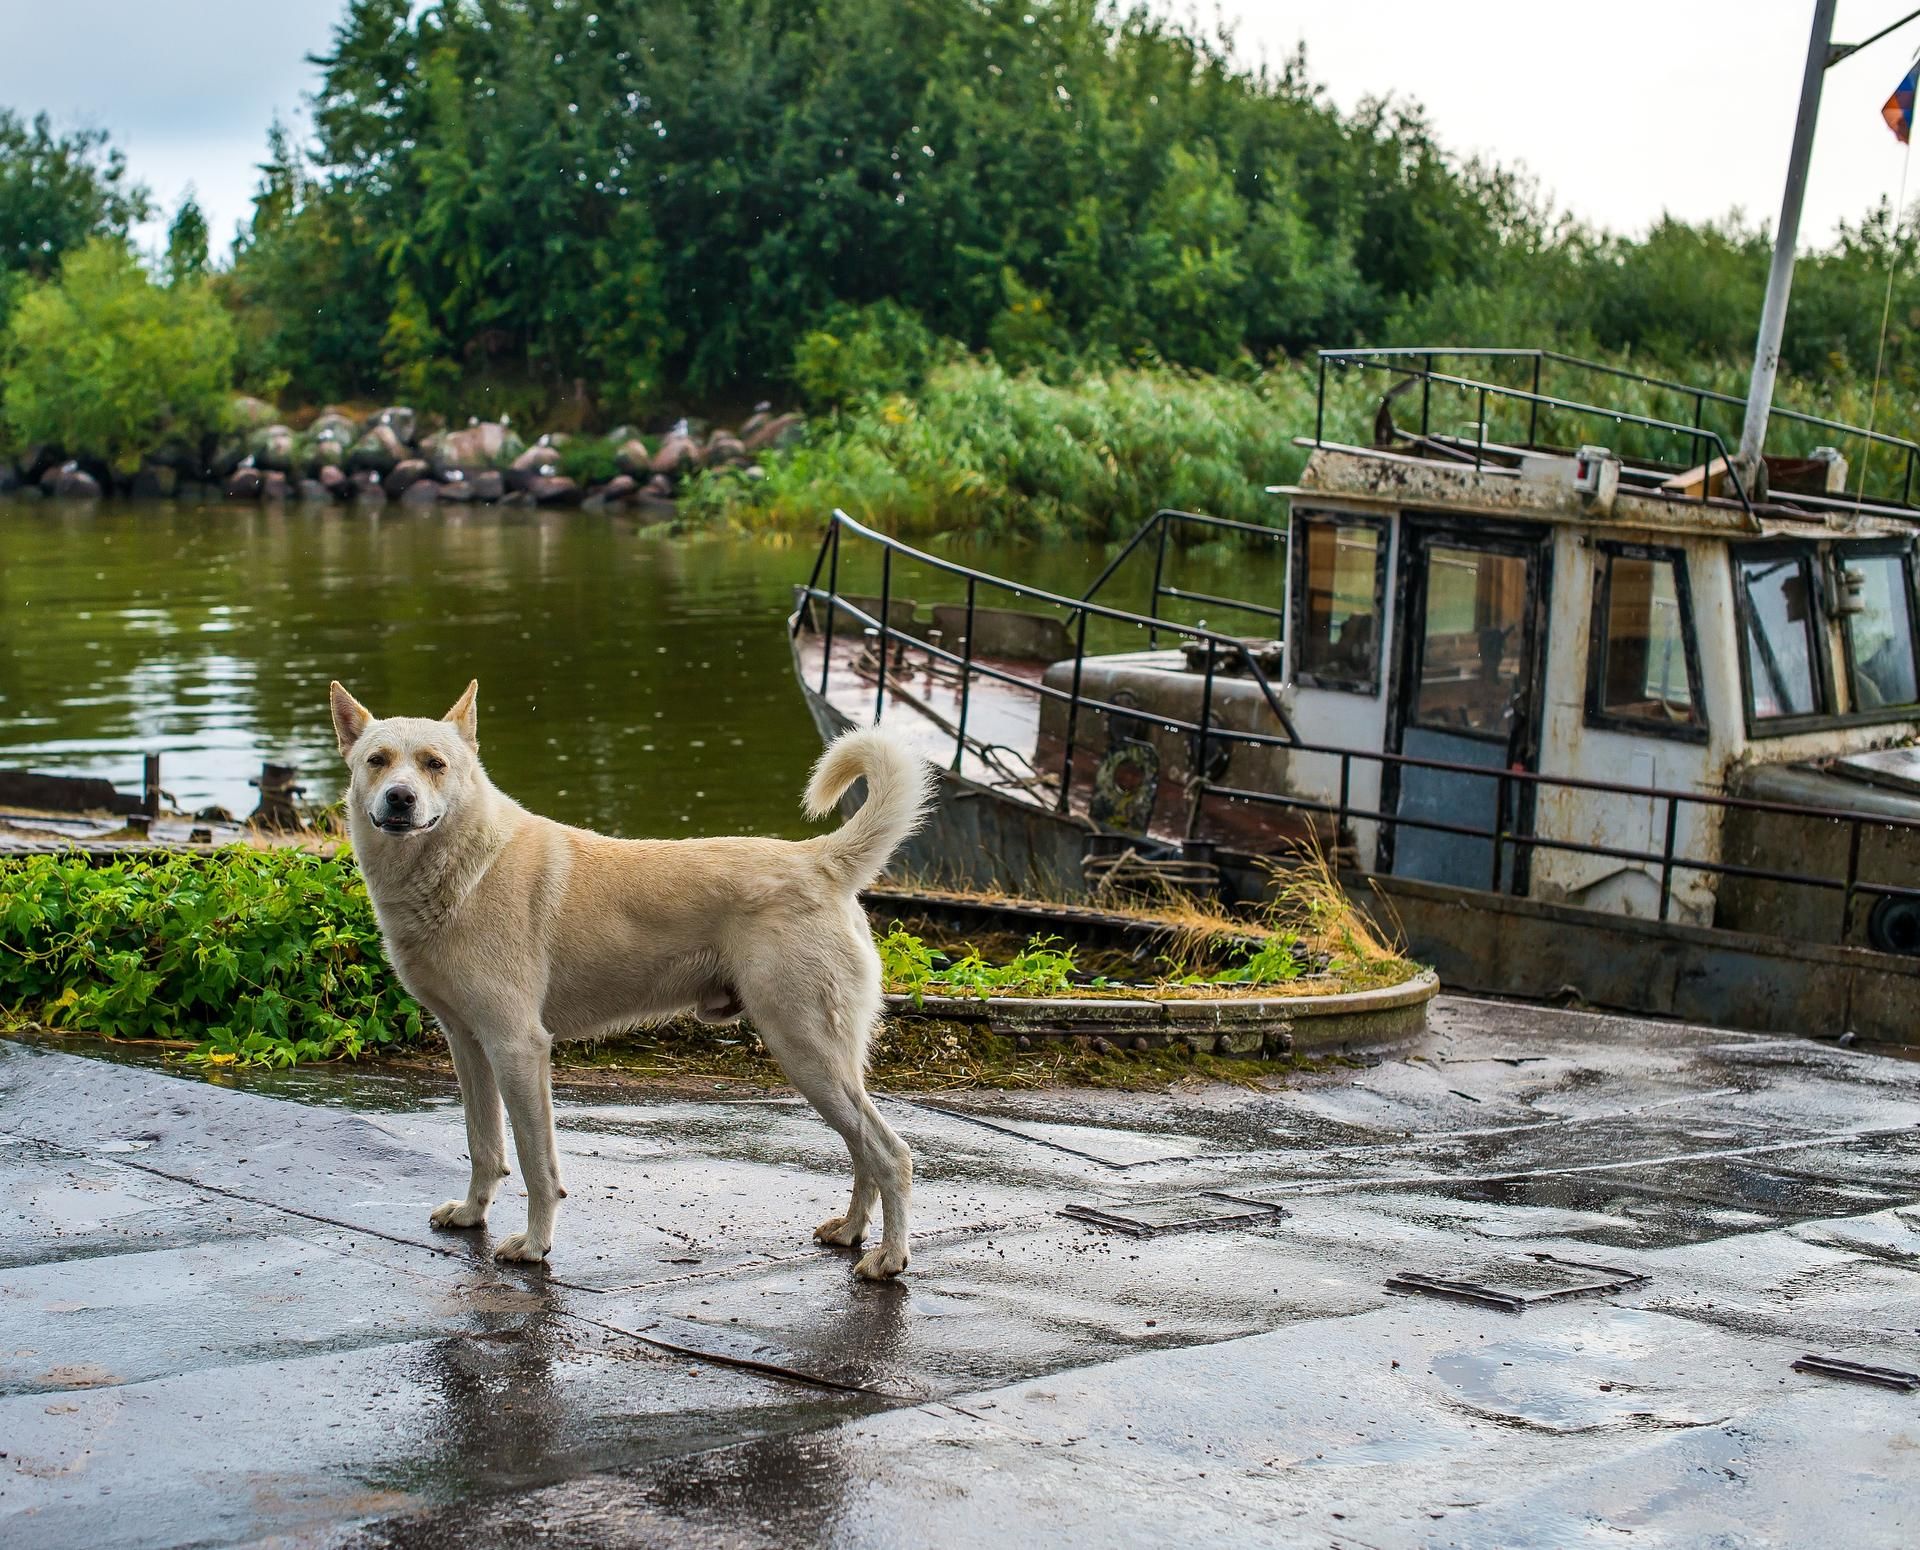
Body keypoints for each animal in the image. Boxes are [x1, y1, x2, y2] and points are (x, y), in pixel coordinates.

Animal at [328, 683, 929, 1275]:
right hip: (824, 1060)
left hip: (806, 1051)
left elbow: (535, 1163)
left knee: (890, 1154)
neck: (462, 867)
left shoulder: (518, 1047)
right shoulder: (468, 1045)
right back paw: (851, 1231)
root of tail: (819, 859)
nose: (400, 798)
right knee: (863, 1151)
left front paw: (534, 1245)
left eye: (435, 764)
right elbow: (485, 1147)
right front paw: (473, 1215)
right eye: (377, 761)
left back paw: (889, 1256)